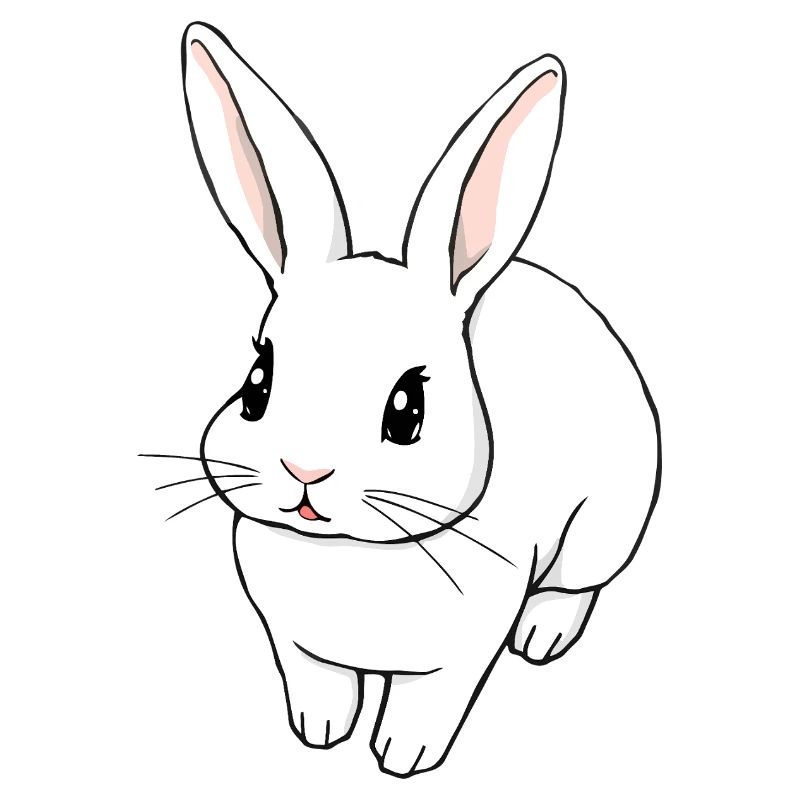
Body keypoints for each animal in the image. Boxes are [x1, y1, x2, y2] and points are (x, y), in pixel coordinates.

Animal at [174, 21, 661, 778]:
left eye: (407, 411)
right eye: (258, 383)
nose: (305, 470)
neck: (351, 554)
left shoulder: (458, 659)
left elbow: (428, 708)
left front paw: (403, 759)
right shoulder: (293, 645)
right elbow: (319, 684)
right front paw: (318, 732)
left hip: (608, 525)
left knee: (578, 585)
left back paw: (542, 634)